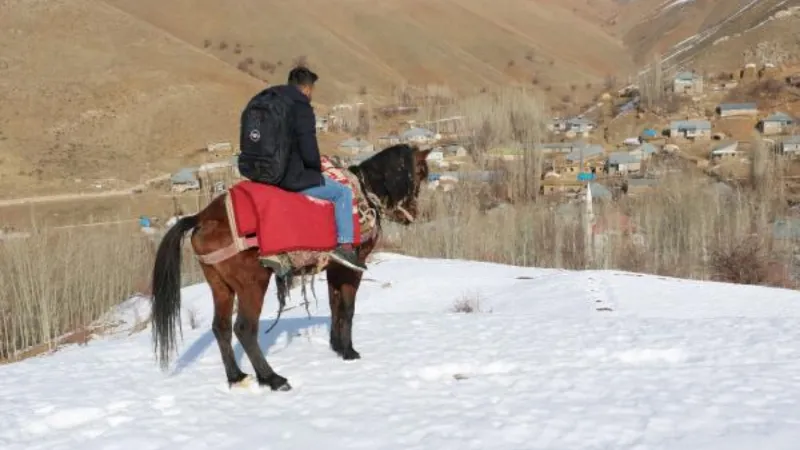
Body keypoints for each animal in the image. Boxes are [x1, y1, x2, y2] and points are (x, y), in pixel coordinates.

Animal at [146, 143, 428, 390]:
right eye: (421, 172)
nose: (412, 213)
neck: (363, 193)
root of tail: (203, 217)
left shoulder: (333, 269)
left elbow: (334, 305)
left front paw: (337, 346)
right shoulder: (350, 269)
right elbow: (347, 309)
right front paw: (349, 351)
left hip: (220, 286)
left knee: (221, 328)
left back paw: (237, 376)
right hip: (253, 284)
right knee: (244, 329)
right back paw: (272, 378)